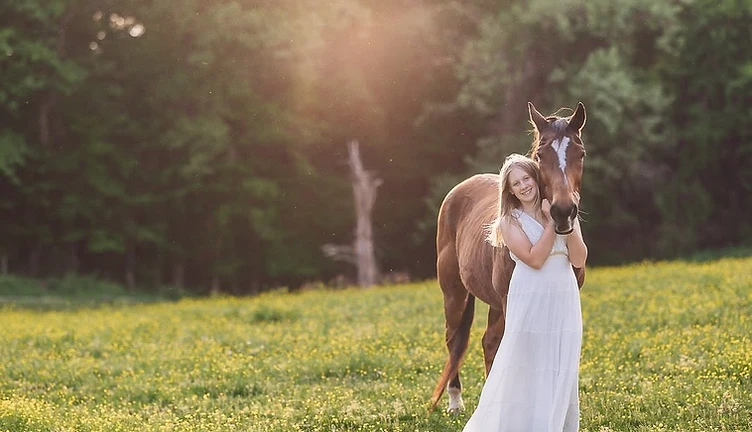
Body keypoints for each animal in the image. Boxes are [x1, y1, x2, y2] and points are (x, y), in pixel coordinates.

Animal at [430, 101, 587, 413]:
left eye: (581, 153)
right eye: (540, 155)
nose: (563, 211)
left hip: (495, 303)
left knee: (488, 342)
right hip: (456, 294)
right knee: (454, 341)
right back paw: (455, 401)